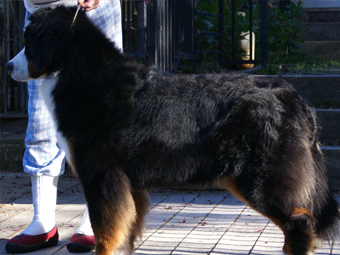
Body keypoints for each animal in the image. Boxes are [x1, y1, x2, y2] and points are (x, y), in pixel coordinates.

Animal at [5, 5, 340, 255]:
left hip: (260, 181)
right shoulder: (129, 183)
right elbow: (125, 229)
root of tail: (290, 95)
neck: (82, 73)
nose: (7, 67)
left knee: (300, 222)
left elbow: (106, 232)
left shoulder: (102, 175)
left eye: (30, 42)